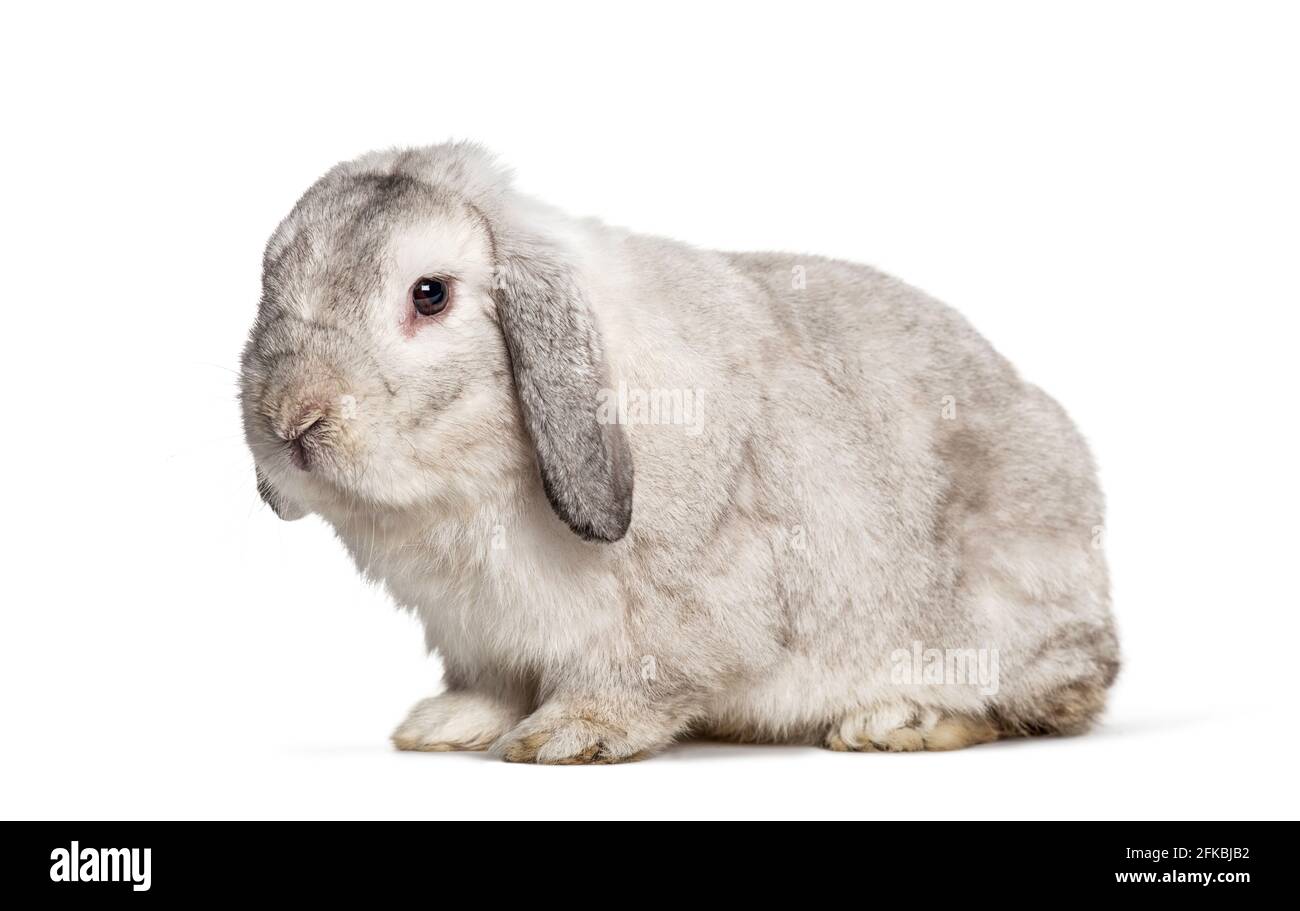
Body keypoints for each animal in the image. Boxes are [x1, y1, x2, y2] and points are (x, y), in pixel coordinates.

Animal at [241, 142, 1119, 763]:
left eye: (431, 294)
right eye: (269, 287)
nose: (292, 419)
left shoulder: (676, 611)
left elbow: (635, 678)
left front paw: (567, 735)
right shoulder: (479, 638)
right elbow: (490, 684)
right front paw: (444, 724)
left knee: (1049, 702)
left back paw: (899, 719)